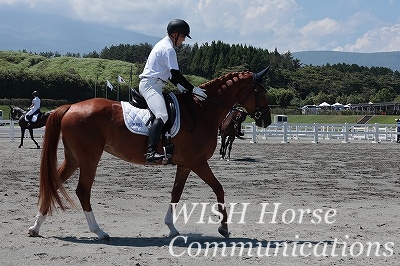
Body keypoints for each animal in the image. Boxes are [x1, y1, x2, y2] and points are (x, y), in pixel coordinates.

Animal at [28, 66, 272, 239]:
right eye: (260, 91)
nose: (267, 121)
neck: (203, 111)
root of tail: (71, 106)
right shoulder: (198, 162)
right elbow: (218, 188)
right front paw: (224, 228)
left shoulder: (185, 165)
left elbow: (176, 194)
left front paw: (171, 228)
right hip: (89, 159)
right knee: (82, 191)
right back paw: (99, 231)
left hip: (74, 159)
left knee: (54, 182)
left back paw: (35, 227)